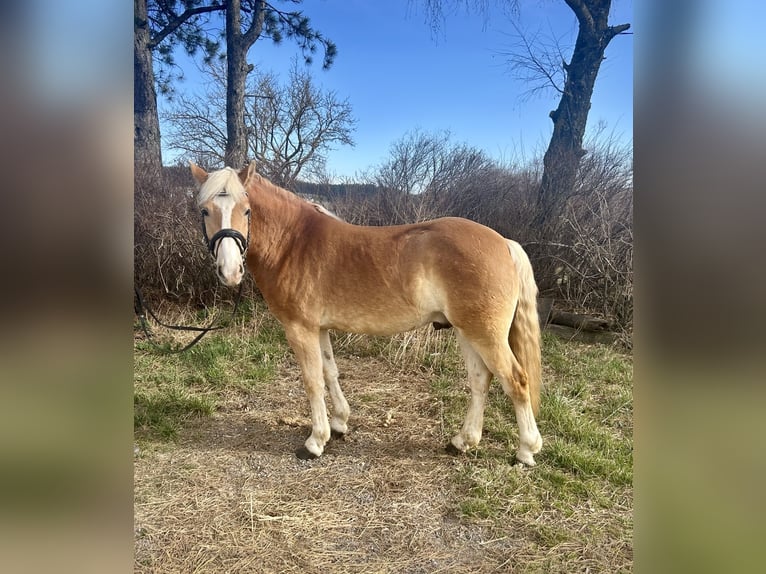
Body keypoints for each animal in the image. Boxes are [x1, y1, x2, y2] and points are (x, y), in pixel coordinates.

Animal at [189, 162, 544, 468]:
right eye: (204, 211)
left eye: (246, 210)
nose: (229, 272)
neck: (294, 243)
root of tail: (504, 243)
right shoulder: (319, 328)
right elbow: (330, 373)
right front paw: (339, 424)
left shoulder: (299, 329)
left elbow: (312, 381)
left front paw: (315, 442)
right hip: (467, 331)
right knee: (480, 380)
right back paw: (463, 441)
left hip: (485, 335)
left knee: (516, 381)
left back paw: (526, 451)